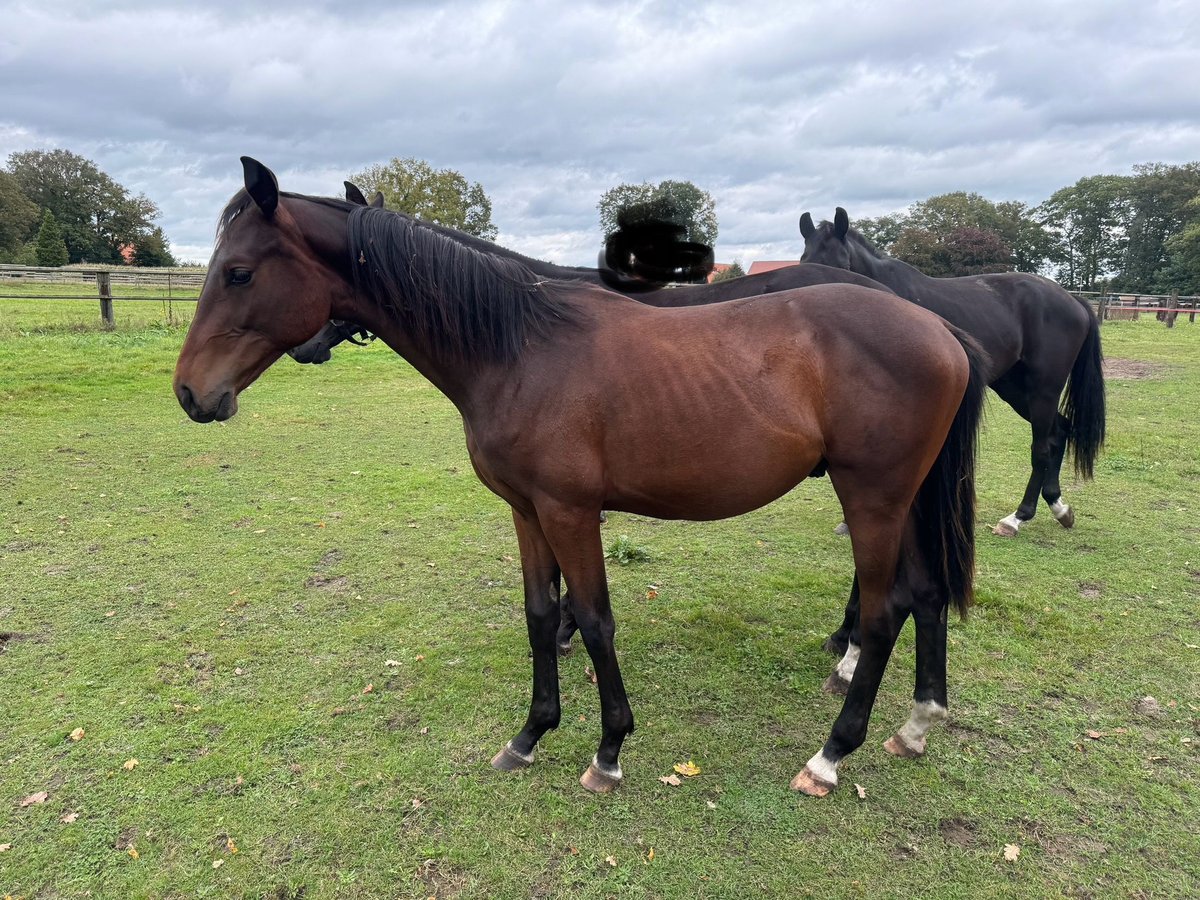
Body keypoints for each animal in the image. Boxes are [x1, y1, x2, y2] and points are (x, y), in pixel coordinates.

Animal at [175, 158, 984, 801]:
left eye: (239, 272)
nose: (190, 394)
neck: (518, 349)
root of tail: (941, 329)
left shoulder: (570, 510)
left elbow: (594, 621)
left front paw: (609, 751)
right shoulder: (527, 512)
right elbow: (540, 615)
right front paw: (529, 737)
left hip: (872, 499)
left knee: (882, 615)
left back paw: (830, 754)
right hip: (903, 501)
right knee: (924, 595)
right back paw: (916, 724)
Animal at [801, 207, 1099, 540]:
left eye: (840, 265)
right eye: (803, 261)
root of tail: (1073, 300)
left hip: (1043, 390)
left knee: (1042, 447)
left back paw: (1018, 517)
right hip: (1016, 391)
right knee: (1060, 432)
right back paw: (1058, 506)